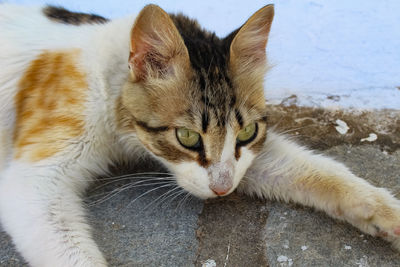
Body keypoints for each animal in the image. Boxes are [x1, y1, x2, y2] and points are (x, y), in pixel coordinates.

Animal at [0, 3, 400, 266]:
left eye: (248, 132)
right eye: (188, 137)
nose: (222, 191)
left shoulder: (243, 162)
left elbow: (322, 173)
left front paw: (388, 214)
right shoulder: (35, 180)